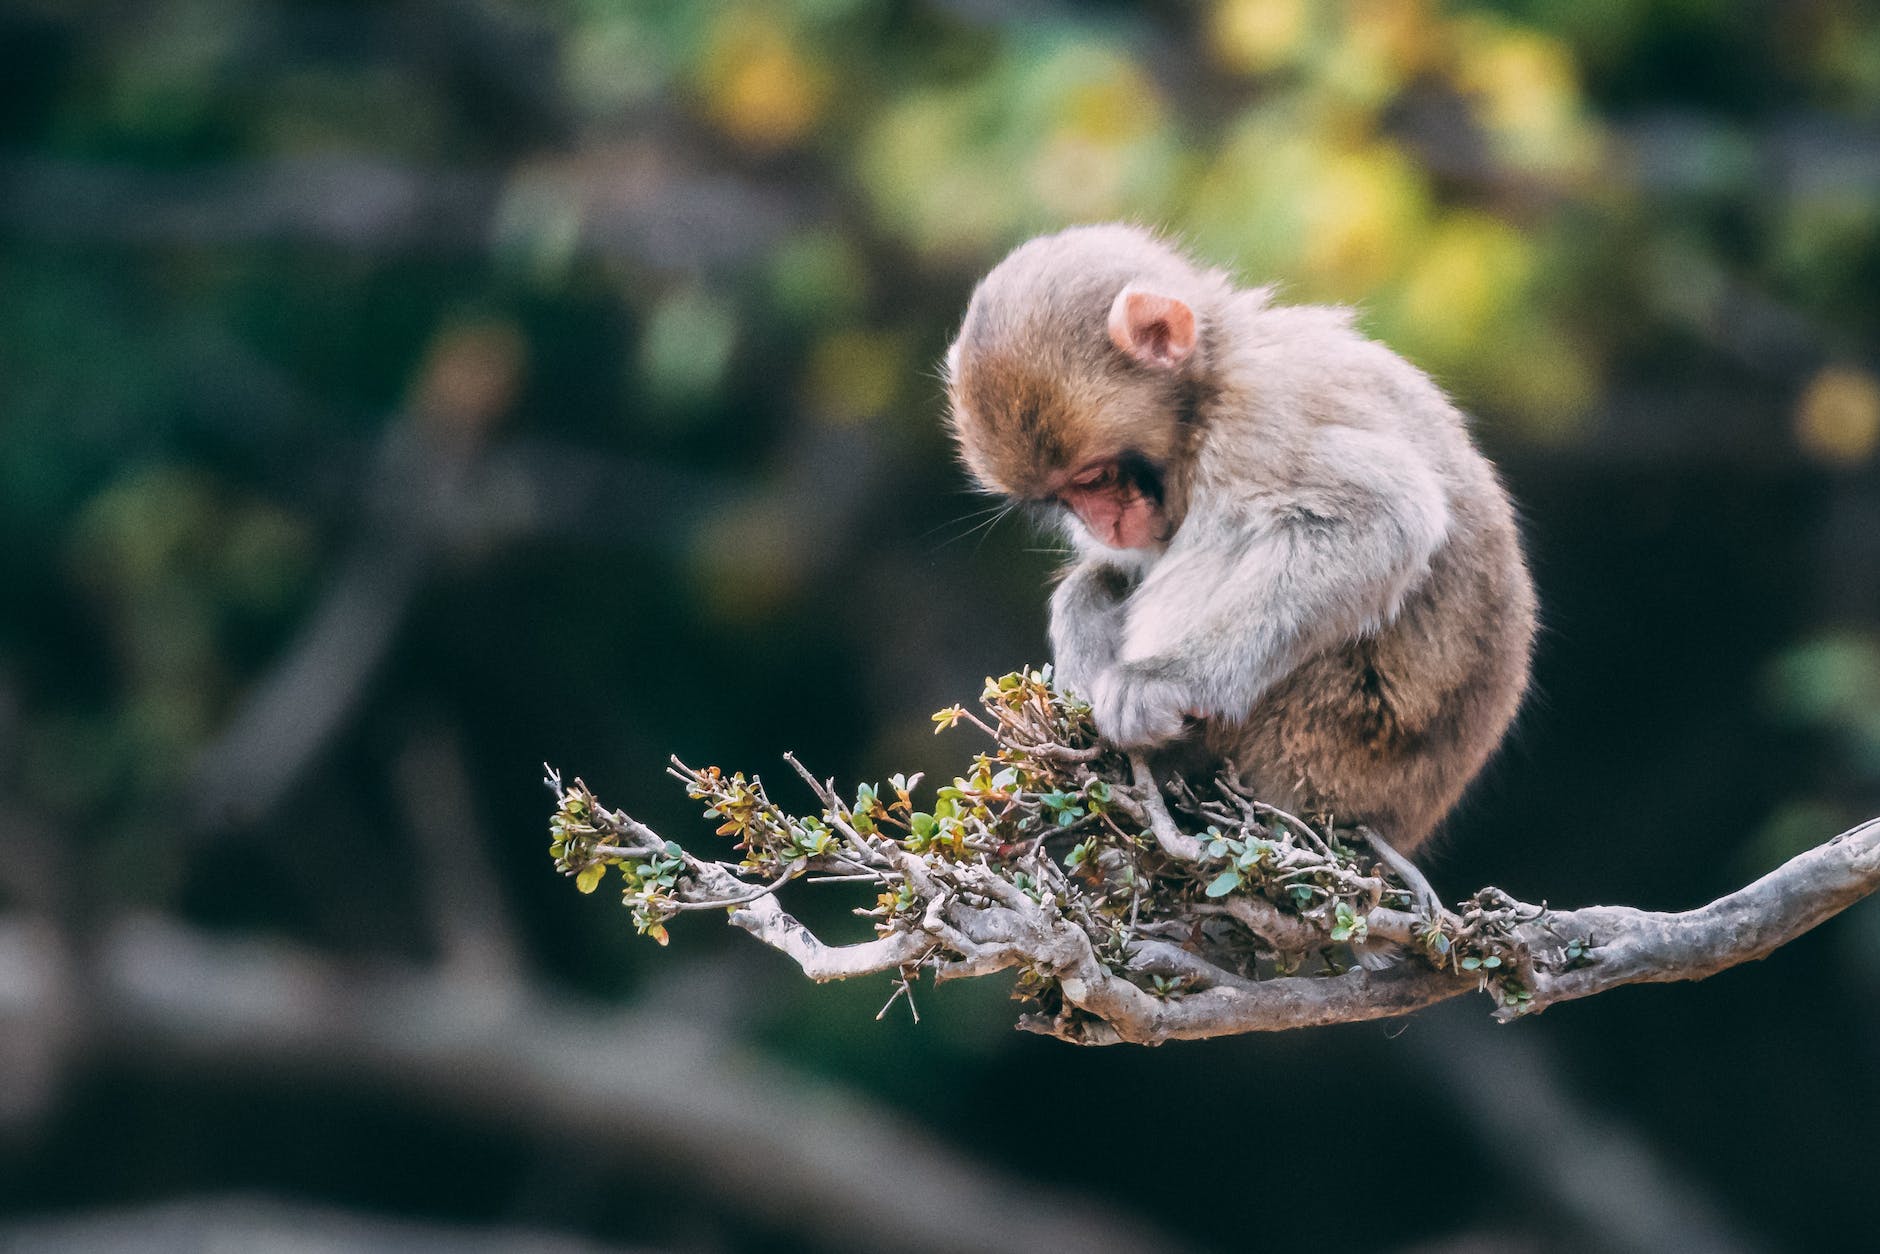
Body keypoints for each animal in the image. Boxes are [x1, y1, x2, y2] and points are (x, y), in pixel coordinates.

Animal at [943, 223, 1535, 854]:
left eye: (1094, 478)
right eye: (1063, 499)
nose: (1102, 525)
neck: (1209, 384)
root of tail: (1397, 825)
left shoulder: (1261, 419)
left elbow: (1381, 518)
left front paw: (1167, 681)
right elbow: (1117, 570)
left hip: (1320, 744)